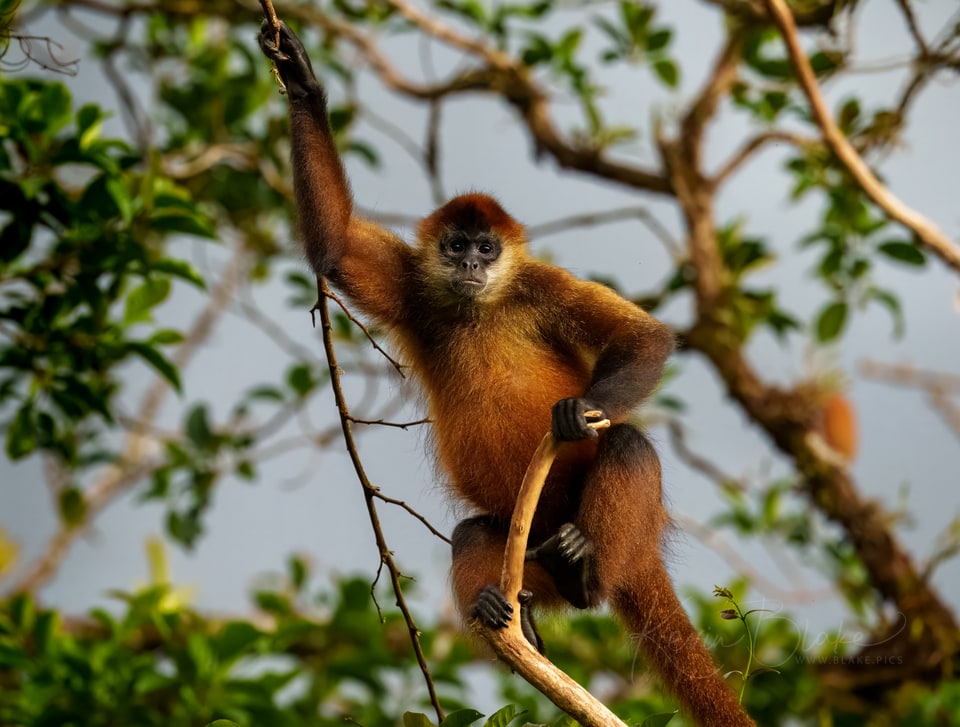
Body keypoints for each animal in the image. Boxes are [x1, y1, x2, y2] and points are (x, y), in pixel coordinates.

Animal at [260, 21, 755, 727]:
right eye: (455, 246)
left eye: (487, 248)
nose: (471, 264)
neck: (480, 304)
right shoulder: (419, 287)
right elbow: (332, 249)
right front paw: (301, 81)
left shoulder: (538, 286)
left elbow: (646, 338)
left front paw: (576, 414)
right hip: (528, 547)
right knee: (473, 532)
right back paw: (504, 614)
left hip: (596, 530)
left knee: (628, 445)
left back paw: (585, 576)